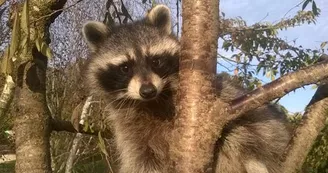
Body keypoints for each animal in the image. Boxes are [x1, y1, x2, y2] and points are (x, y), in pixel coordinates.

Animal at [81, 4, 290, 173]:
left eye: (155, 61)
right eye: (125, 68)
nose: (148, 91)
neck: (153, 102)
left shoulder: (222, 97)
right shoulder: (130, 130)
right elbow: (141, 159)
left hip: (273, 133)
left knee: (241, 135)